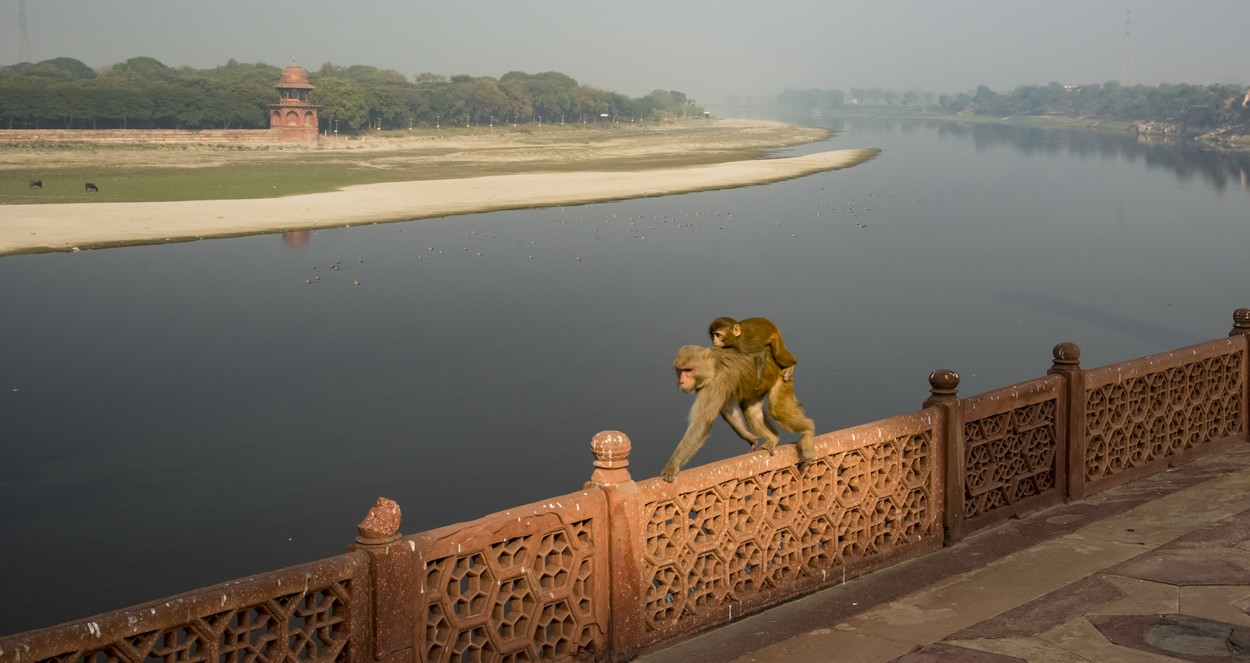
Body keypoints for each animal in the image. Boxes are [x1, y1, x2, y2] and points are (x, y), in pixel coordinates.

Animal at [665, 342, 820, 477]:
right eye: (680, 370)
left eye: (688, 370)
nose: (681, 381)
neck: (712, 367)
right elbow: (727, 409)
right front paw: (749, 438)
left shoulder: (714, 384)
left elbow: (701, 423)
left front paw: (672, 465)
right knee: (751, 411)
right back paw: (773, 438)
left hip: (781, 376)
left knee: (776, 410)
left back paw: (808, 430)